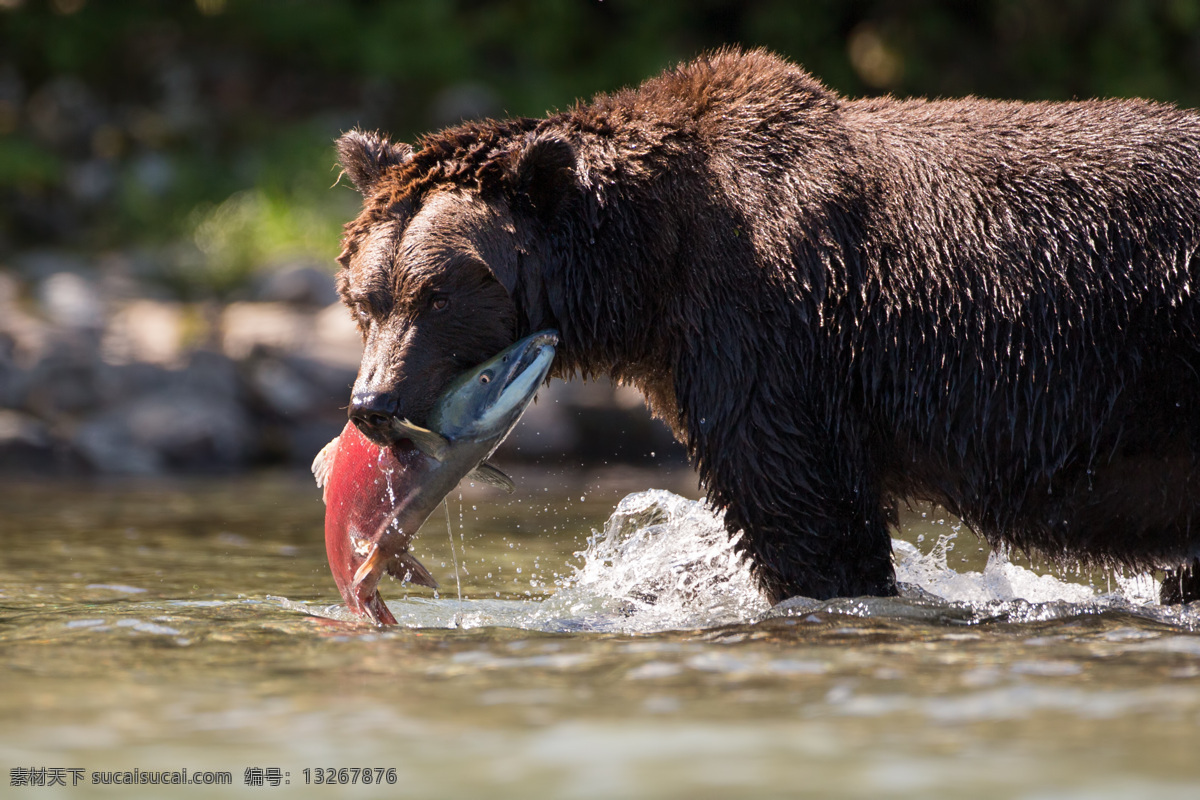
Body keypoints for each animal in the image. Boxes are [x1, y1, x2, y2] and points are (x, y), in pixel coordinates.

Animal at [333, 47, 1200, 604]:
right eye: (366, 296)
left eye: (439, 294)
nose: (372, 405)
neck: (648, 275)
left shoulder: (772, 335)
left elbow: (803, 515)